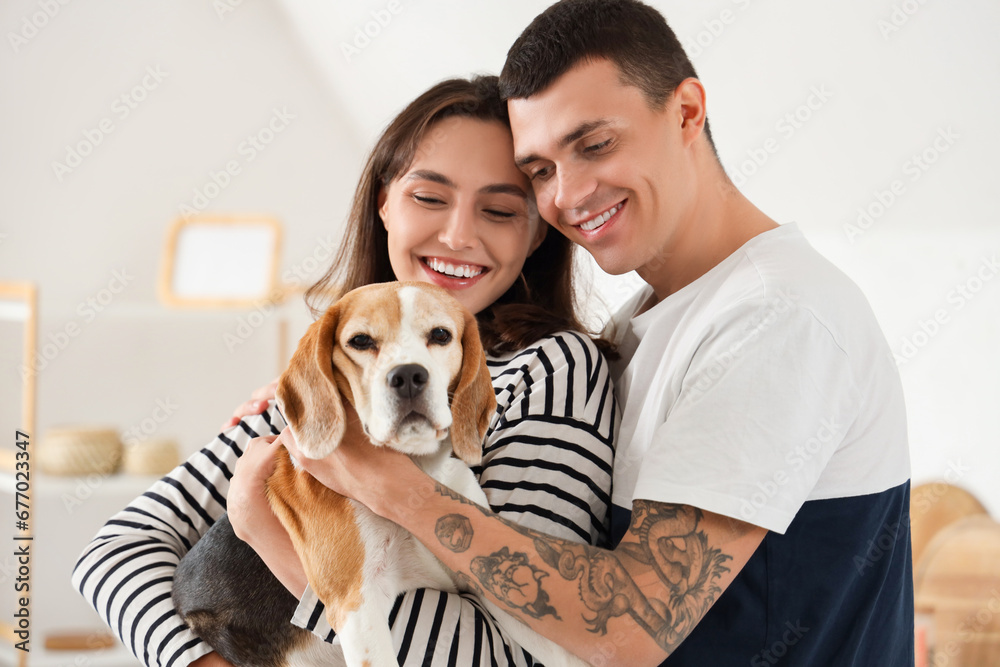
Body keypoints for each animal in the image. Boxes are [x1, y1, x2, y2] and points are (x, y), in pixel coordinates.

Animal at [175, 284, 584, 667]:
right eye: (360, 341)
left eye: (440, 335)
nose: (408, 375)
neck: (416, 472)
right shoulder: (358, 603)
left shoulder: (497, 587)